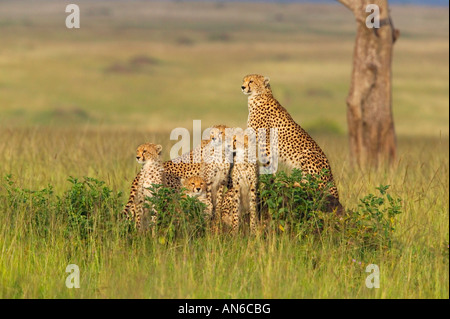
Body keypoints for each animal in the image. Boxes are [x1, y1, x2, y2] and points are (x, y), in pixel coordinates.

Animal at [243, 74, 344, 216]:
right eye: (244, 80)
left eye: (251, 81)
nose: (243, 86)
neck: (258, 96)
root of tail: (330, 174)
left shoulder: (265, 144)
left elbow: (268, 166)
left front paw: (269, 185)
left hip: (307, 154)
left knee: (314, 187)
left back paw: (293, 184)